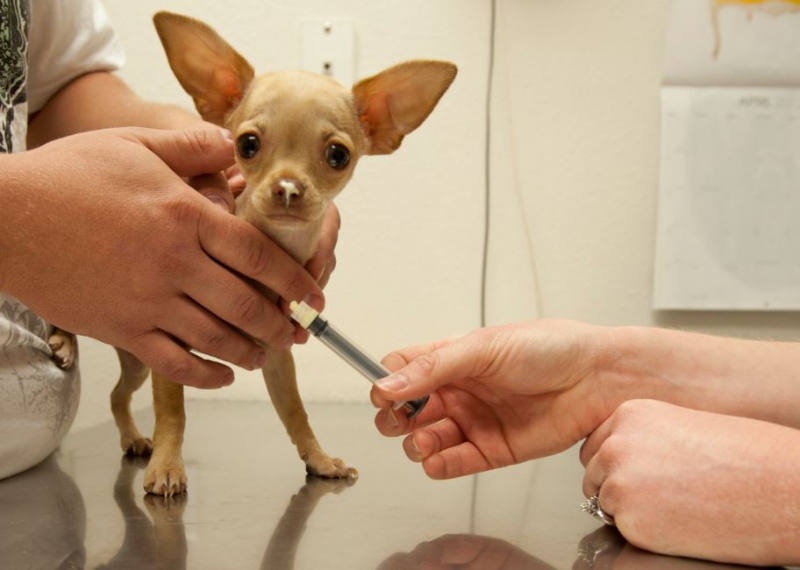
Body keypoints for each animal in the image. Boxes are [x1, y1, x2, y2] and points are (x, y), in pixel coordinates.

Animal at [104, 11, 456, 494]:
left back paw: (132, 436)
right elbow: (172, 412)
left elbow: (295, 413)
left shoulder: (277, 357)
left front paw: (319, 459)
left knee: (116, 395)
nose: (288, 187)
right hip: (142, 355)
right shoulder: (172, 349)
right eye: (247, 144)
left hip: (137, 360)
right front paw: (167, 466)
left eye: (337, 155)